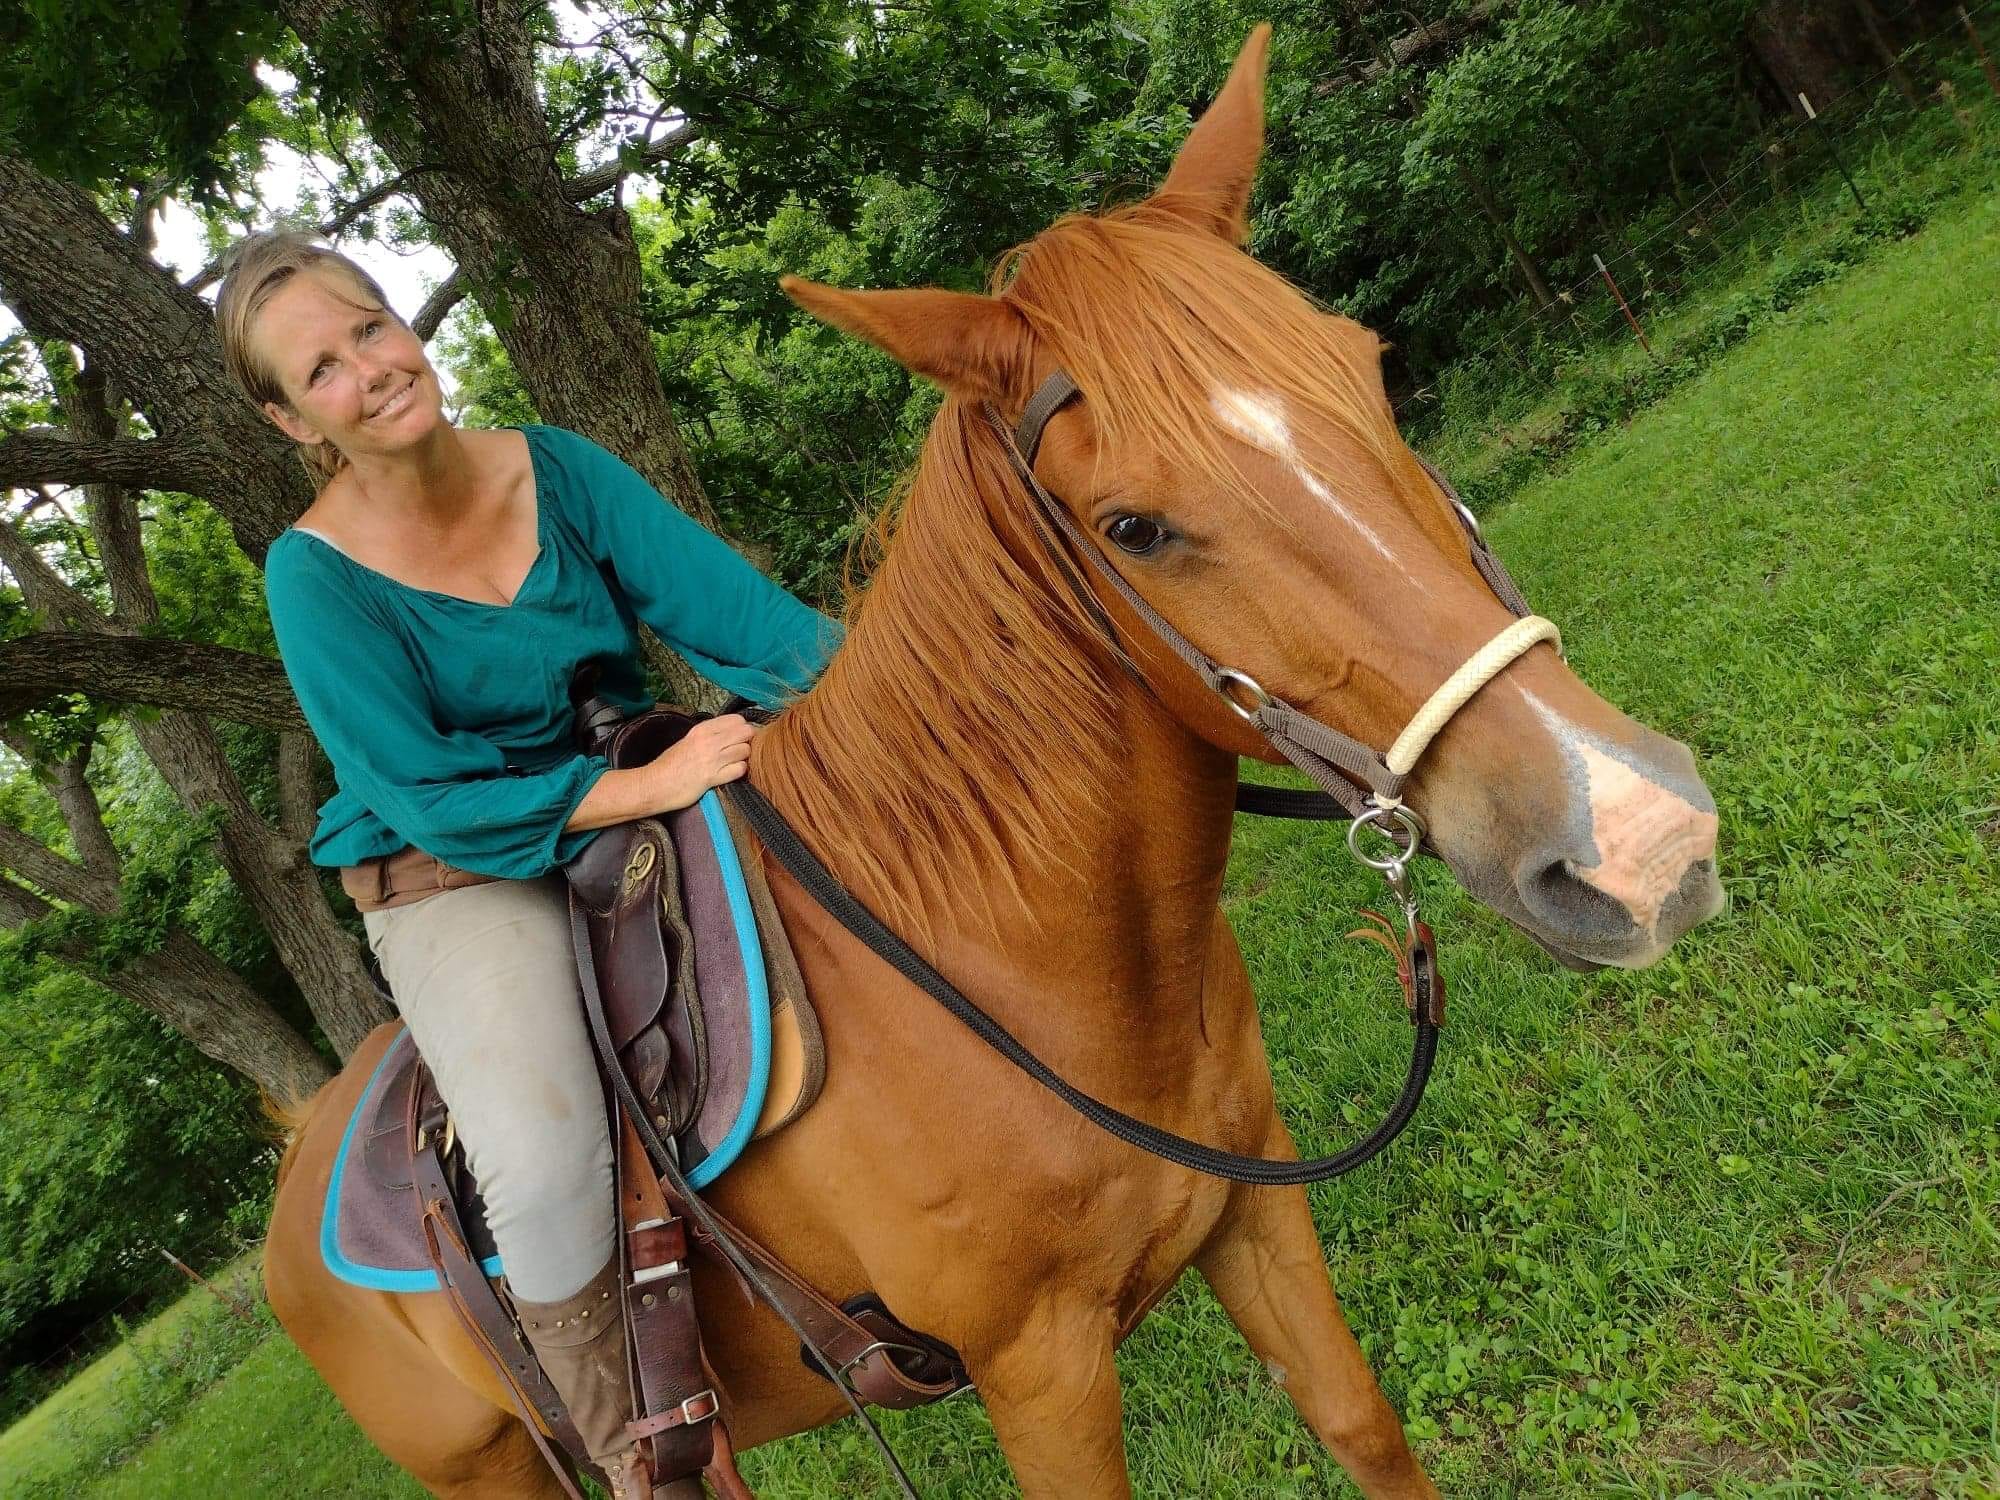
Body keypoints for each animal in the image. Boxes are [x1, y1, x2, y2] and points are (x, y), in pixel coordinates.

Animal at [265, 26, 1723, 1499]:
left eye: (1365, 367)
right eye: (1131, 527)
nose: (1637, 836)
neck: (985, 960)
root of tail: (299, 1152)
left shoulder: (1252, 1216)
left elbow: (1362, 1426)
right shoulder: (1040, 1372)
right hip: (491, 1459)